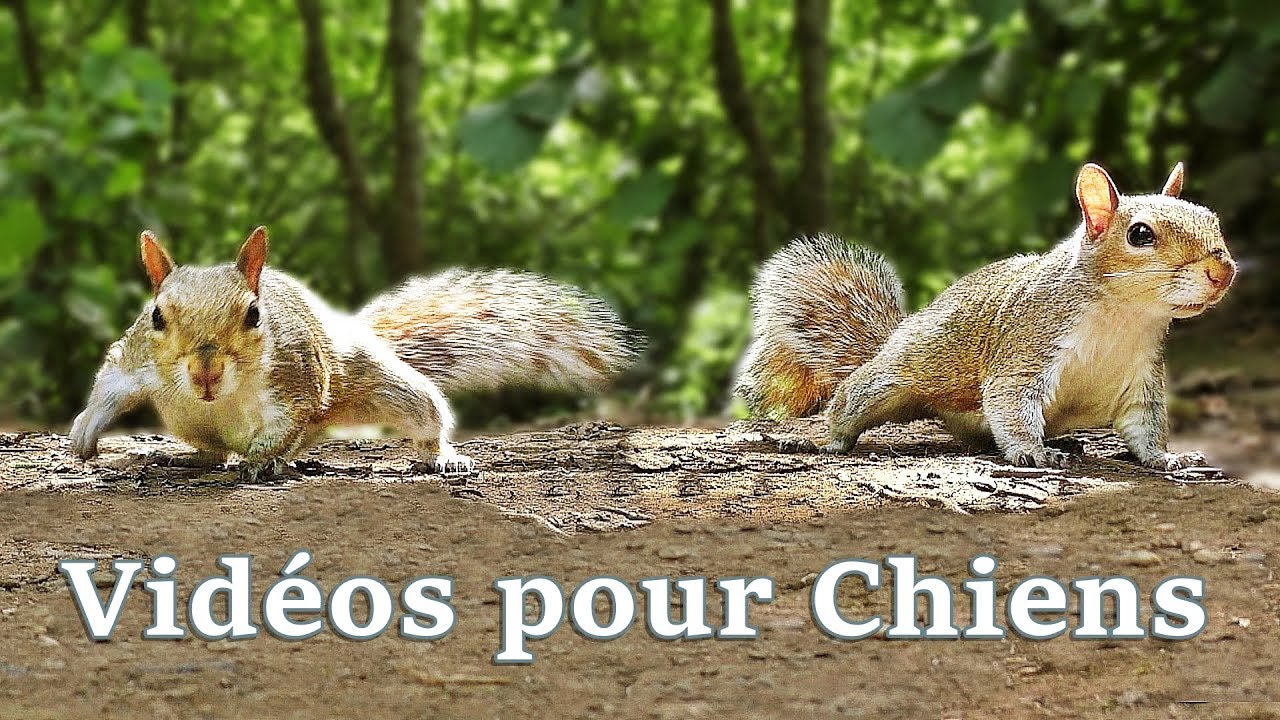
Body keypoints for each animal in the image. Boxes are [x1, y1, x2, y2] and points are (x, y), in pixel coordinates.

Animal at [70, 226, 638, 480]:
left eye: (254, 315)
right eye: (156, 316)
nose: (205, 373)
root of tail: (344, 331)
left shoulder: (297, 380)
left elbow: (285, 426)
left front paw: (260, 460)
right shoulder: (139, 357)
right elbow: (113, 377)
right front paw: (87, 427)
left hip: (375, 382)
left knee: (421, 413)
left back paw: (440, 456)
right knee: (210, 451)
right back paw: (183, 455)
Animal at [736, 162, 1236, 470]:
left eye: (1212, 218)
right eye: (1140, 234)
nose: (1223, 271)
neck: (1124, 317)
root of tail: (892, 339)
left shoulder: (1141, 377)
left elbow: (1145, 428)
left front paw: (1168, 459)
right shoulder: (1029, 347)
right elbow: (1010, 404)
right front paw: (1033, 454)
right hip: (887, 383)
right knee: (847, 410)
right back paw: (822, 440)